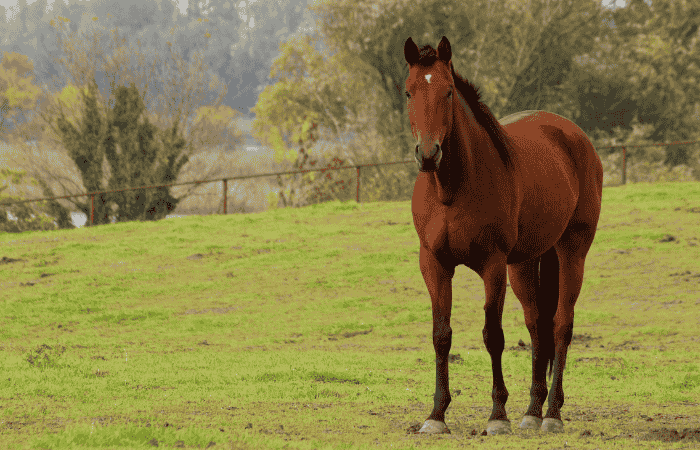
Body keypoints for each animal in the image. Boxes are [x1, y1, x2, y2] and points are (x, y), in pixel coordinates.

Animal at [404, 36, 603, 435]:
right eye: (408, 92)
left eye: (448, 92)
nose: (428, 154)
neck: (452, 188)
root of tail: (576, 138)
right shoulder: (434, 264)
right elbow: (441, 335)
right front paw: (436, 415)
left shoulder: (492, 266)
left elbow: (492, 336)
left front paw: (497, 415)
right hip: (526, 263)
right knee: (538, 325)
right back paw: (533, 410)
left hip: (572, 252)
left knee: (561, 325)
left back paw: (552, 414)